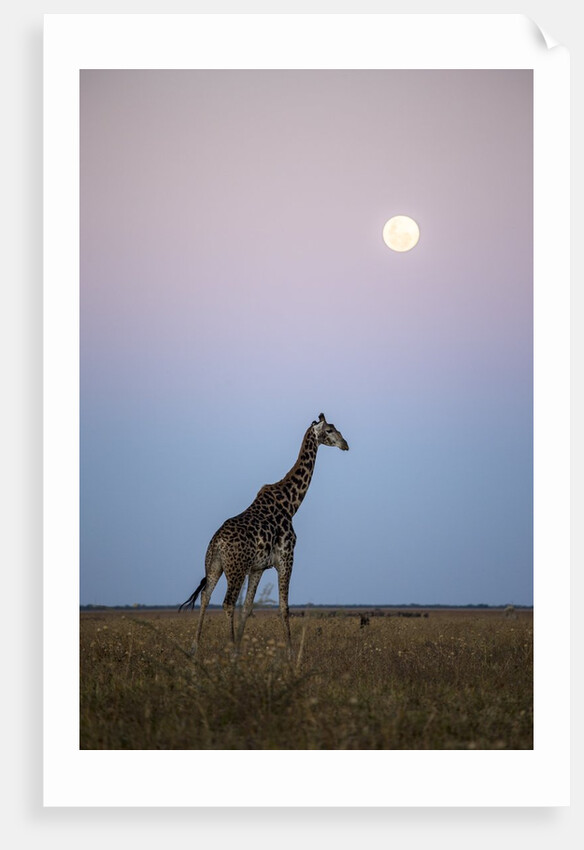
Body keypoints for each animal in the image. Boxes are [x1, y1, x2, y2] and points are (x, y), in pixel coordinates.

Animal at [179, 413, 349, 655]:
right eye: (329, 430)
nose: (345, 444)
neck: (291, 504)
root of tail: (217, 542)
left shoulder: (258, 568)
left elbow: (248, 607)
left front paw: (242, 644)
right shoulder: (286, 558)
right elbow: (284, 607)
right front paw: (290, 652)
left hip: (214, 565)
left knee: (205, 596)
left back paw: (195, 648)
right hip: (236, 569)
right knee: (227, 602)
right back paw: (231, 650)